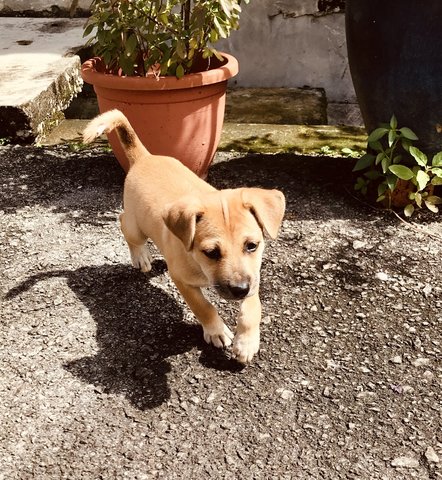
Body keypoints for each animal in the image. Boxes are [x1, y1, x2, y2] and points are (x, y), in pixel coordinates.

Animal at [84, 109, 284, 364]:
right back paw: (141, 257)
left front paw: (246, 342)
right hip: (136, 225)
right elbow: (203, 306)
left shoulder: (253, 276)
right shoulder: (181, 279)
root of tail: (144, 158)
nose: (239, 290)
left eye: (252, 245)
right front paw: (216, 331)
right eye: (211, 252)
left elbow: (252, 308)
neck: (199, 265)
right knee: (125, 225)